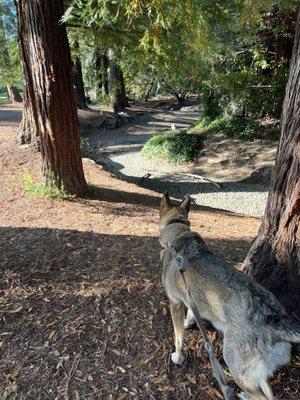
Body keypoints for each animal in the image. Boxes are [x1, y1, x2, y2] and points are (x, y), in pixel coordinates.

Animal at [158, 192, 298, 398]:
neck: (178, 231)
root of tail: (274, 321)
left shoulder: (175, 303)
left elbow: (178, 338)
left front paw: (178, 357)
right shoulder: (192, 299)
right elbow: (191, 315)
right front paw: (189, 323)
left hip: (236, 368)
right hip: (257, 373)